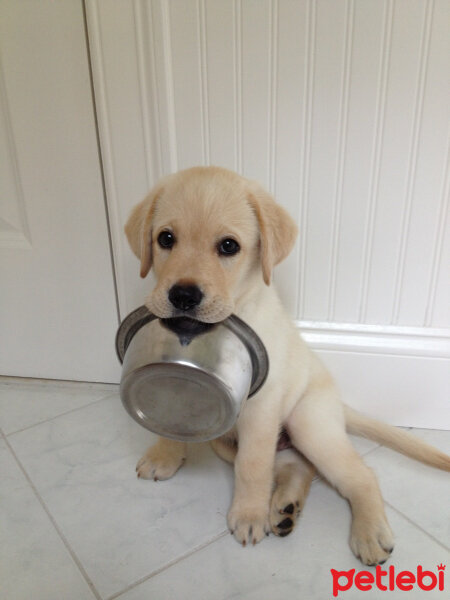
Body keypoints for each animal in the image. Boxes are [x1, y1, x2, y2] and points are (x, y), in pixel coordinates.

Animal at [125, 166, 450, 564]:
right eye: (165, 238)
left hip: (308, 423)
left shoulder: (261, 408)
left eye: (229, 246)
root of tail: (337, 403)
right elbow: (170, 419)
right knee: (297, 466)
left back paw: (368, 532)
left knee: (359, 475)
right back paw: (285, 506)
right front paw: (164, 455)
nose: (183, 295)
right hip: (231, 442)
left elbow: (252, 466)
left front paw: (248, 515)